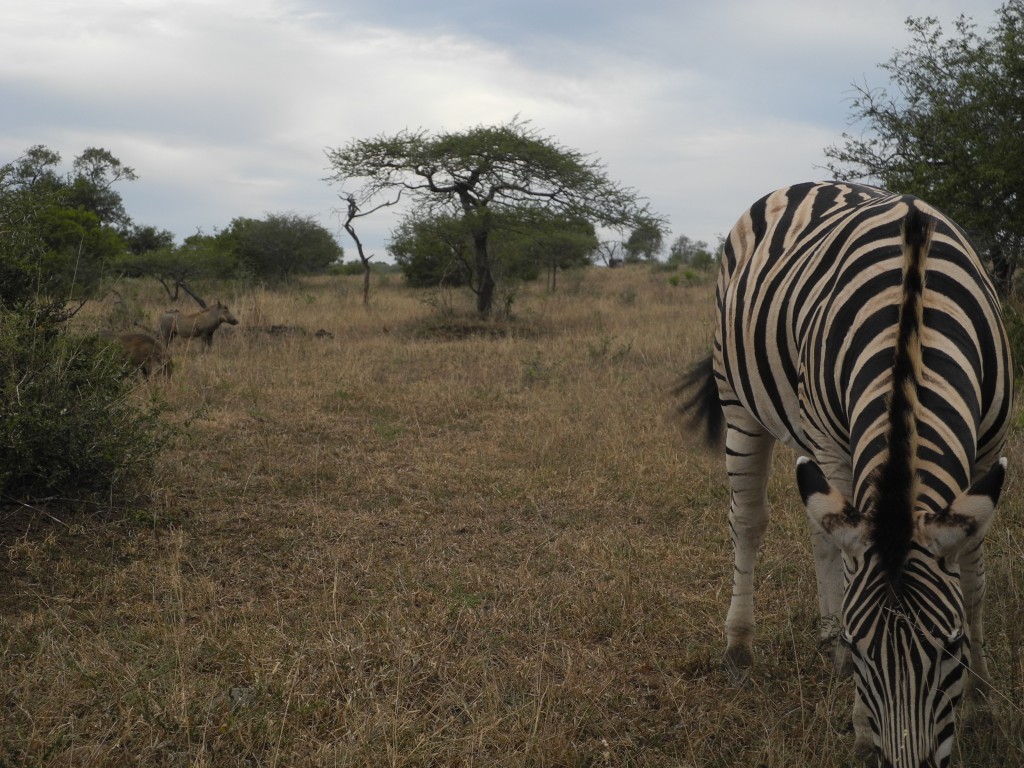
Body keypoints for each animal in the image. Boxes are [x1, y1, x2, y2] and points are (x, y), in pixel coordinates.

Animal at [675, 183, 1011, 765]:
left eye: (951, 645)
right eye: (864, 646)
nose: (906, 762)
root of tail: (807, 184)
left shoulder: (989, 449)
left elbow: (973, 583)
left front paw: (981, 699)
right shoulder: (837, 445)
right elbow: (854, 574)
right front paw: (859, 720)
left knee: (822, 533)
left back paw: (824, 639)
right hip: (739, 401)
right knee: (748, 521)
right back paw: (740, 648)